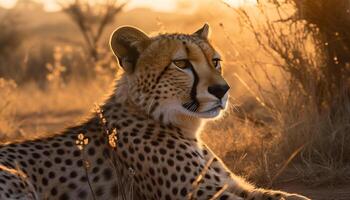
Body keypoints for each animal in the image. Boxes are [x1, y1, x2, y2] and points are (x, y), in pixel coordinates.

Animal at [0, 24, 312, 199]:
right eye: (181, 64)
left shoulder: (234, 187)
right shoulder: (202, 195)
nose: (222, 90)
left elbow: (288, 197)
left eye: (215, 61)